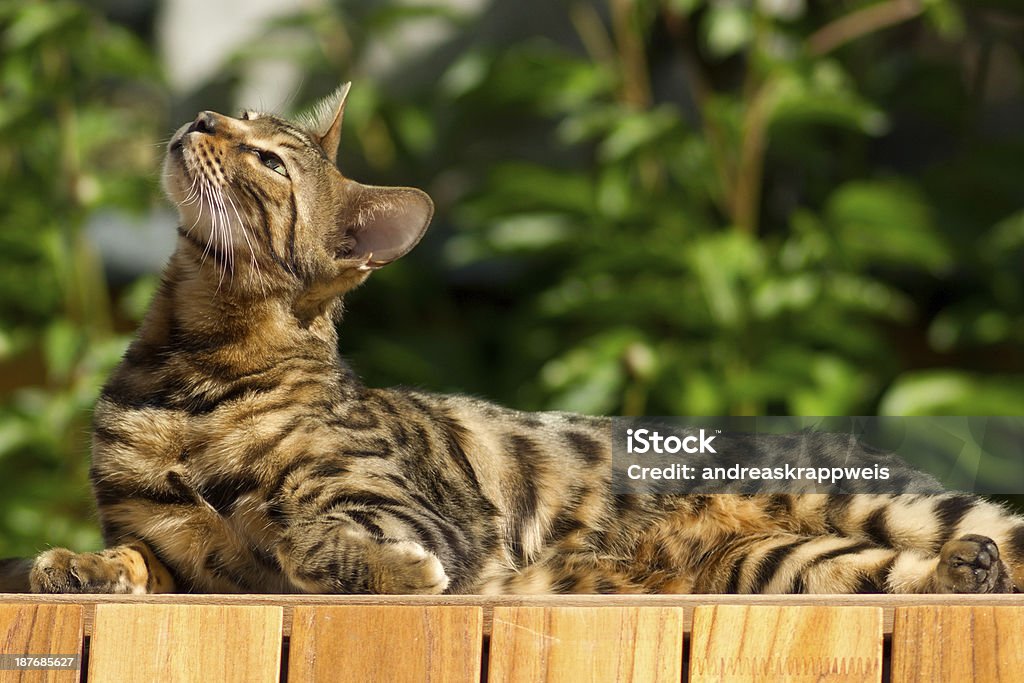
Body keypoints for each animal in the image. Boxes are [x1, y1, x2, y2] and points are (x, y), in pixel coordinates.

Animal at [8, 85, 1024, 593]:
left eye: (265, 157)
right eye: (237, 116)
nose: (205, 116)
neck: (190, 364)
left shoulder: (416, 514)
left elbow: (303, 529)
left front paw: (379, 566)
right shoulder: (172, 543)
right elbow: (140, 555)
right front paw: (79, 568)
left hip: (881, 503)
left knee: (988, 531)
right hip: (784, 565)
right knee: (898, 577)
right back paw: (965, 575)